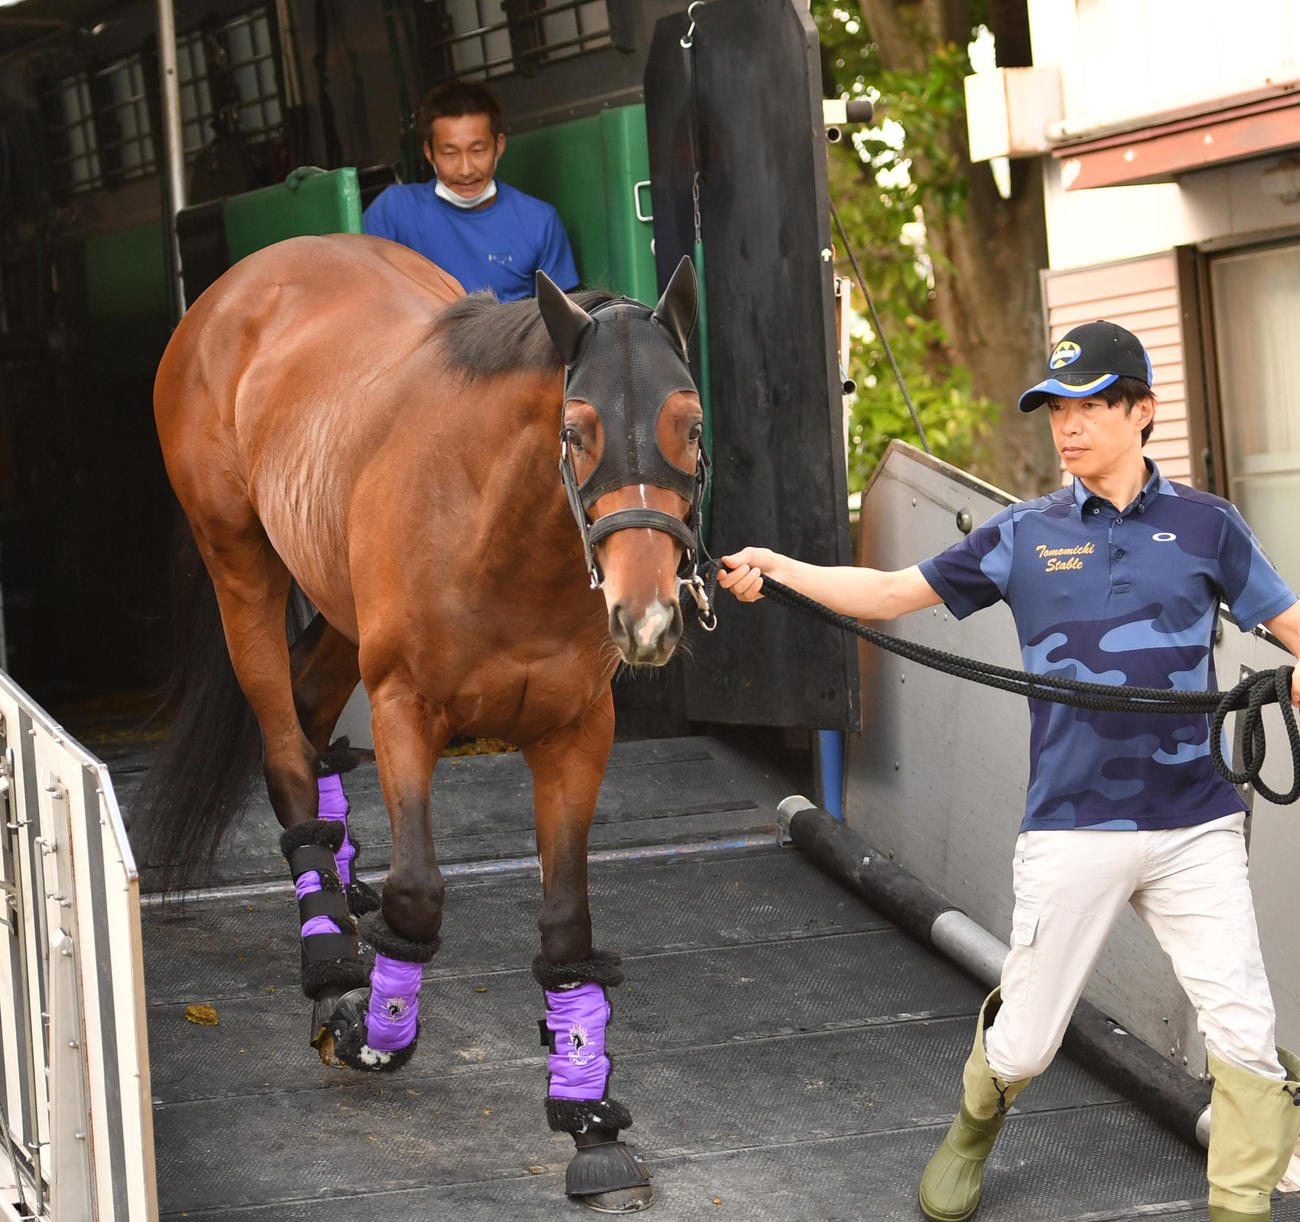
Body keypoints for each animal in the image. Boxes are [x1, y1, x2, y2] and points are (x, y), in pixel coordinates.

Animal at [137, 231, 710, 1212]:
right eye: (575, 430)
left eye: (693, 425)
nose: (645, 619)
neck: (498, 531)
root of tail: (248, 277)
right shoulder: (406, 707)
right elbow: (417, 894)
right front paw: (374, 1023)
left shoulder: (576, 735)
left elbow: (568, 929)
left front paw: (587, 1118)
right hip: (240, 563)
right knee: (283, 747)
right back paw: (329, 946)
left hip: (333, 592)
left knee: (311, 708)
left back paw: (337, 883)